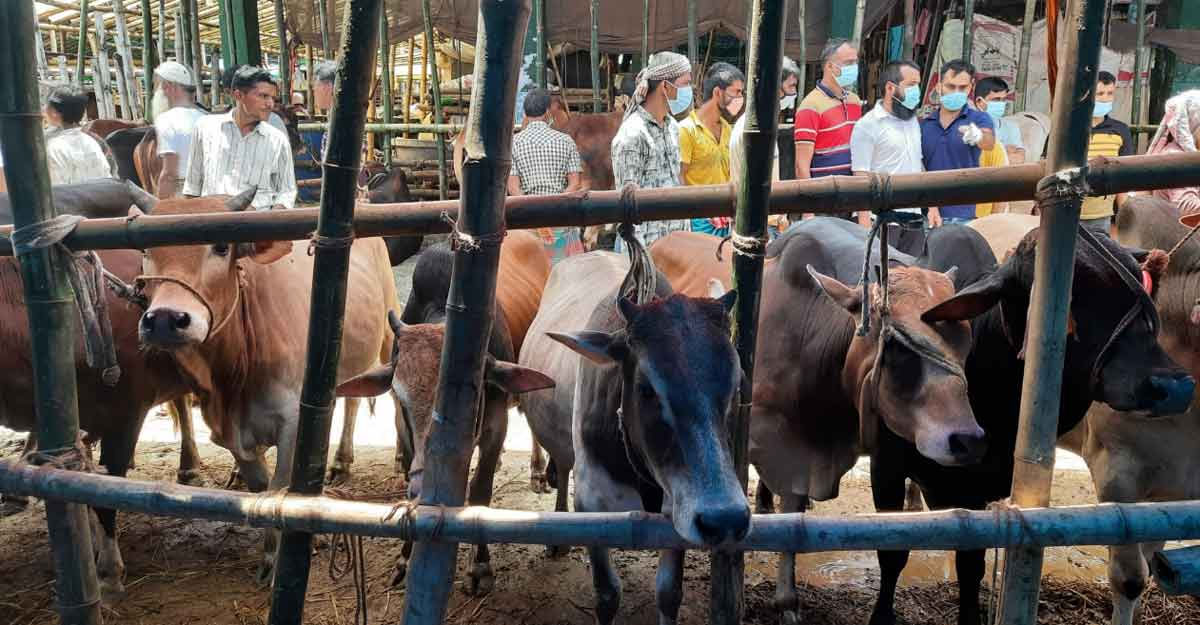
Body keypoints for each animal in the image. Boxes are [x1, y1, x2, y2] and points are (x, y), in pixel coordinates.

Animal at [134, 185, 398, 580]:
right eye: (147, 250)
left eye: (222, 247)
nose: (165, 319)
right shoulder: (229, 433)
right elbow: (261, 486)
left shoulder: (293, 422)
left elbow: (280, 489)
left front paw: (282, 556)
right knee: (351, 398)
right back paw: (340, 461)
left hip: (387, 332)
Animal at [336, 311, 554, 595]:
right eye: (399, 396)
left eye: (471, 399)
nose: (425, 488)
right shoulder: (403, 430)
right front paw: (406, 557)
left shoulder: (496, 425)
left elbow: (480, 493)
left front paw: (480, 565)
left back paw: (538, 470)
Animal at [547, 249, 748, 623]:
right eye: (646, 389)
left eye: (737, 383)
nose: (725, 519)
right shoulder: (590, 505)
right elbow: (607, 594)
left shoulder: (678, 514)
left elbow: (669, 593)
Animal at [864, 212, 1200, 619]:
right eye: (1071, 294)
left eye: (1142, 285)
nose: (1173, 386)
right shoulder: (885, 467)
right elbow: (892, 554)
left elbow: (970, 566)